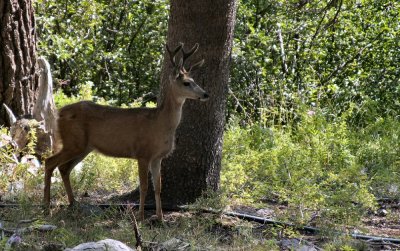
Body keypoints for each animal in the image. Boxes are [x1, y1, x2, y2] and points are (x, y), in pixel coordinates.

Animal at [43, 43, 209, 220]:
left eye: (194, 80)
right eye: (186, 83)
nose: (206, 94)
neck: (160, 124)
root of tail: (59, 113)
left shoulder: (157, 157)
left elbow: (158, 187)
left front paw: (160, 218)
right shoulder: (142, 153)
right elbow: (144, 186)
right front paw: (141, 216)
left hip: (84, 147)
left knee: (64, 168)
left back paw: (73, 203)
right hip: (73, 142)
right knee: (50, 162)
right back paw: (46, 206)